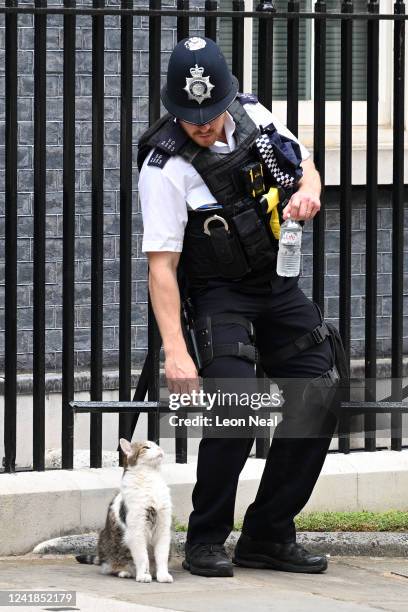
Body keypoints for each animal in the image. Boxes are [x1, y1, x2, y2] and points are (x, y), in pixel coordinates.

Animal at [76, 440, 172, 584]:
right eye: (146, 447)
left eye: (156, 445)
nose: (160, 450)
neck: (151, 477)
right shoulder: (137, 531)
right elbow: (143, 558)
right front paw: (143, 575)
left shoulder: (163, 528)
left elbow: (162, 556)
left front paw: (163, 575)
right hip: (107, 543)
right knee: (111, 567)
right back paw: (125, 572)